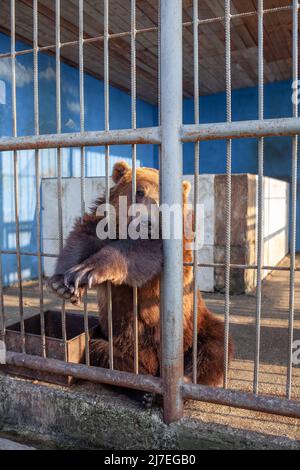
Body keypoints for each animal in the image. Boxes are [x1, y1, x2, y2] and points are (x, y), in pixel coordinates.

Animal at [48, 162, 232, 404]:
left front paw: (87, 271)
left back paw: (184, 381)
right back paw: (143, 388)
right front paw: (62, 282)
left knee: (215, 346)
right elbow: (82, 238)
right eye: (140, 191)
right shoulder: (103, 223)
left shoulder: (169, 245)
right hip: (119, 336)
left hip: (195, 324)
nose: (149, 222)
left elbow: (136, 254)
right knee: (102, 352)